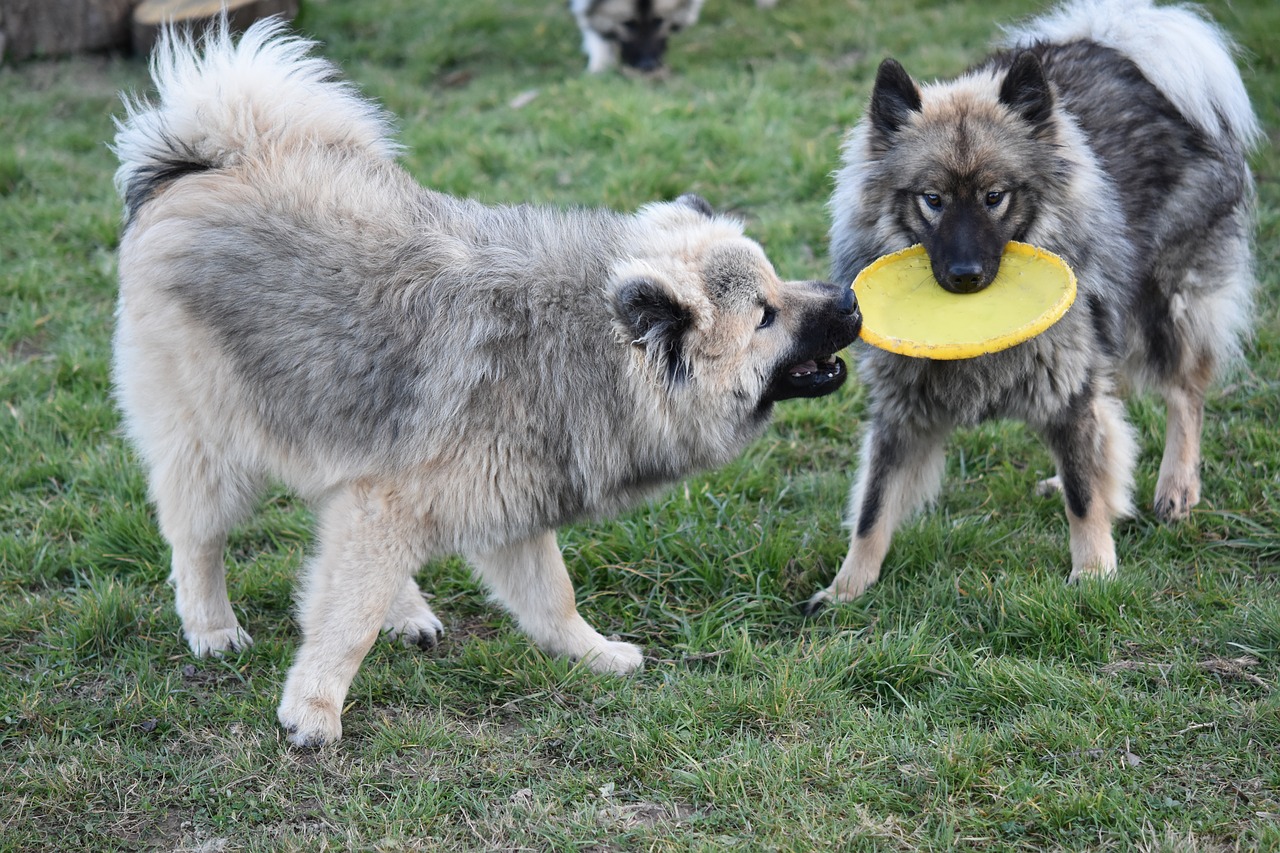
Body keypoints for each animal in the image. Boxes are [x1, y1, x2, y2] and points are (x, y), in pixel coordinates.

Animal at [112, 16, 860, 742]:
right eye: (765, 315)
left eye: (778, 284)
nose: (852, 302)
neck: (583, 345)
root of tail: (217, 159)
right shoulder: (397, 501)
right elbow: (347, 617)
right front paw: (315, 707)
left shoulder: (502, 504)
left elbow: (551, 597)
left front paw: (591, 653)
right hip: (214, 443)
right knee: (197, 539)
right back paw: (212, 627)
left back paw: (405, 611)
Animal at [803, 0, 1254, 612]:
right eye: (932, 200)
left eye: (995, 197)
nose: (965, 277)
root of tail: (1117, 46)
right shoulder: (902, 410)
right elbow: (873, 509)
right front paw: (846, 590)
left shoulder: (1068, 384)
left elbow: (1085, 496)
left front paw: (1093, 573)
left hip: (1164, 302)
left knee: (1186, 390)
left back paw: (1176, 487)